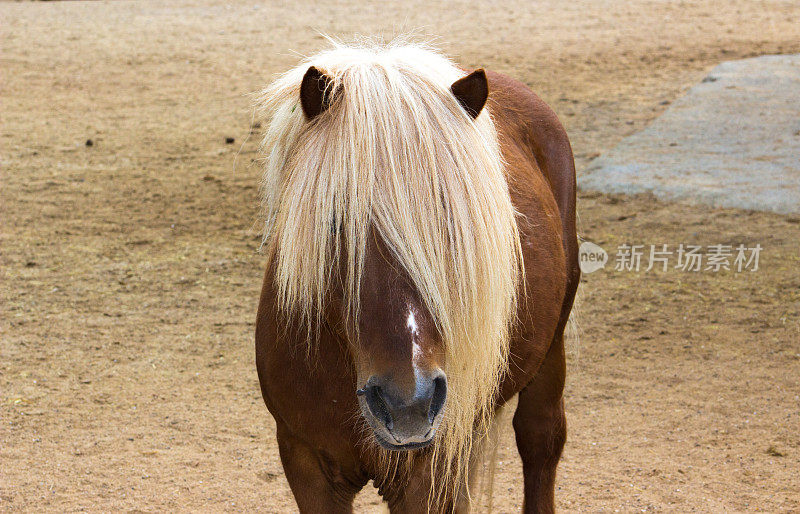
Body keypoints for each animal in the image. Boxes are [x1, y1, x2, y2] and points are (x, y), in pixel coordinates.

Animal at [253, 41, 580, 512]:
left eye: (452, 220)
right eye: (335, 221)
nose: (408, 404)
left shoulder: (424, 477)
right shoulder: (307, 463)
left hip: (550, 350)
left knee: (541, 439)